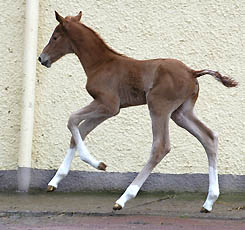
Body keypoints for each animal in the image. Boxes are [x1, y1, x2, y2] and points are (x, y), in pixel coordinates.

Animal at [38, 10, 237, 212]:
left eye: (55, 37)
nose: (41, 58)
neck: (101, 63)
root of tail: (192, 72)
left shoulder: (108, 104)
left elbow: (72, 120)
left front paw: (98, 164)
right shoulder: (107, 109)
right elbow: (80, 130)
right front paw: (55, 181)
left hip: (158, 106)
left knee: (161, 146)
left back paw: (124, 198)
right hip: (181, 113)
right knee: (209, 137)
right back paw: (209, 201)